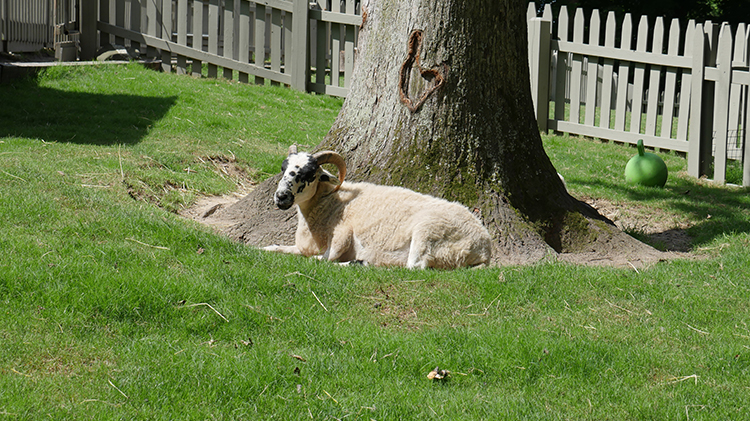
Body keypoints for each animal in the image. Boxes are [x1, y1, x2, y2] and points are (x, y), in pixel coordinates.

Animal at [262, 145, 493, 269]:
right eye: (283, 169)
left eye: (310, 174)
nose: (281, 197)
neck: (328, 202)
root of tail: (484, 246)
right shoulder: (303, 245)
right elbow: (276, 247)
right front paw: (261, 248)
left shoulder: (343, 233)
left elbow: (324, 257)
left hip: (428, 232)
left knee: (413, 266)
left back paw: (361, 263)